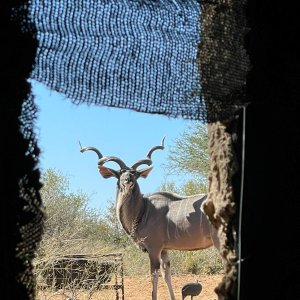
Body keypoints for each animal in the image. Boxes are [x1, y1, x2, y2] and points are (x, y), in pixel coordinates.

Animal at [81, 138, 219, 300]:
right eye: (121, 172)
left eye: (134, 173)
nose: (128, 180)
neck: (143, 210)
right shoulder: (164, 250)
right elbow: (166, 275)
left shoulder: (154, 248)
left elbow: (154, 276)